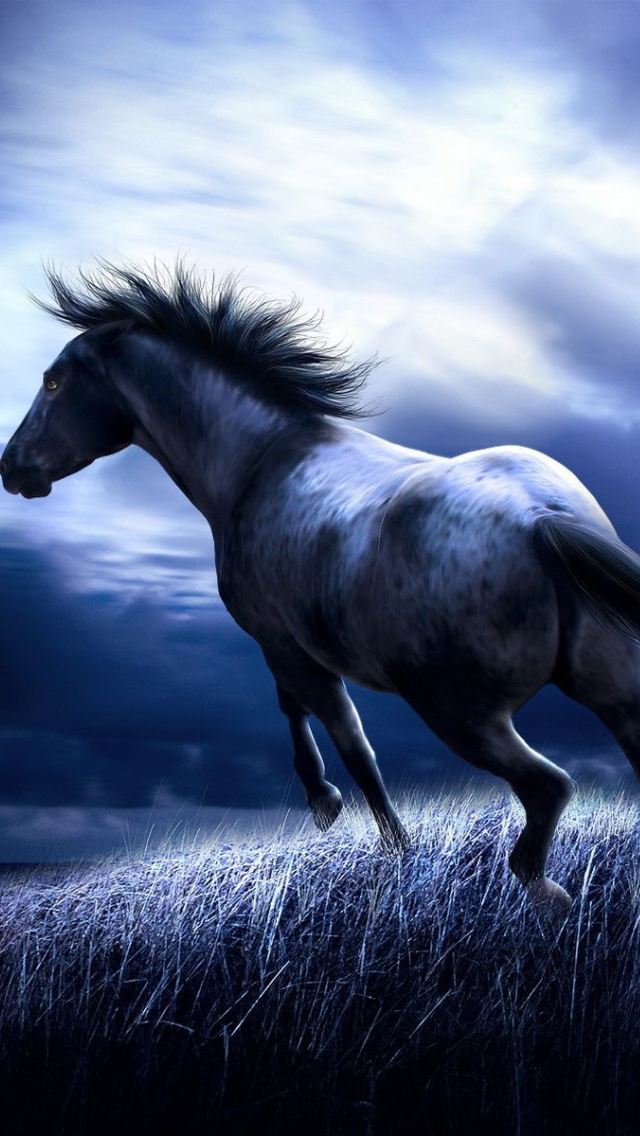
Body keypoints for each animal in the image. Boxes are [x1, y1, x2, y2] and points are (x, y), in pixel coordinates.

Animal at [4, 262, 640, 909]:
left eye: (53, 382)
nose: (12, 468)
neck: (260, 459)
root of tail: (543, 520)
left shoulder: (285, 646)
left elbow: (346, 741)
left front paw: (363, 828)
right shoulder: (292, 650)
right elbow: (309, 716)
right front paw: (336, 810)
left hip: (462, 713)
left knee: (549, 788)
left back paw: (545, 891)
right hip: (613, 693)